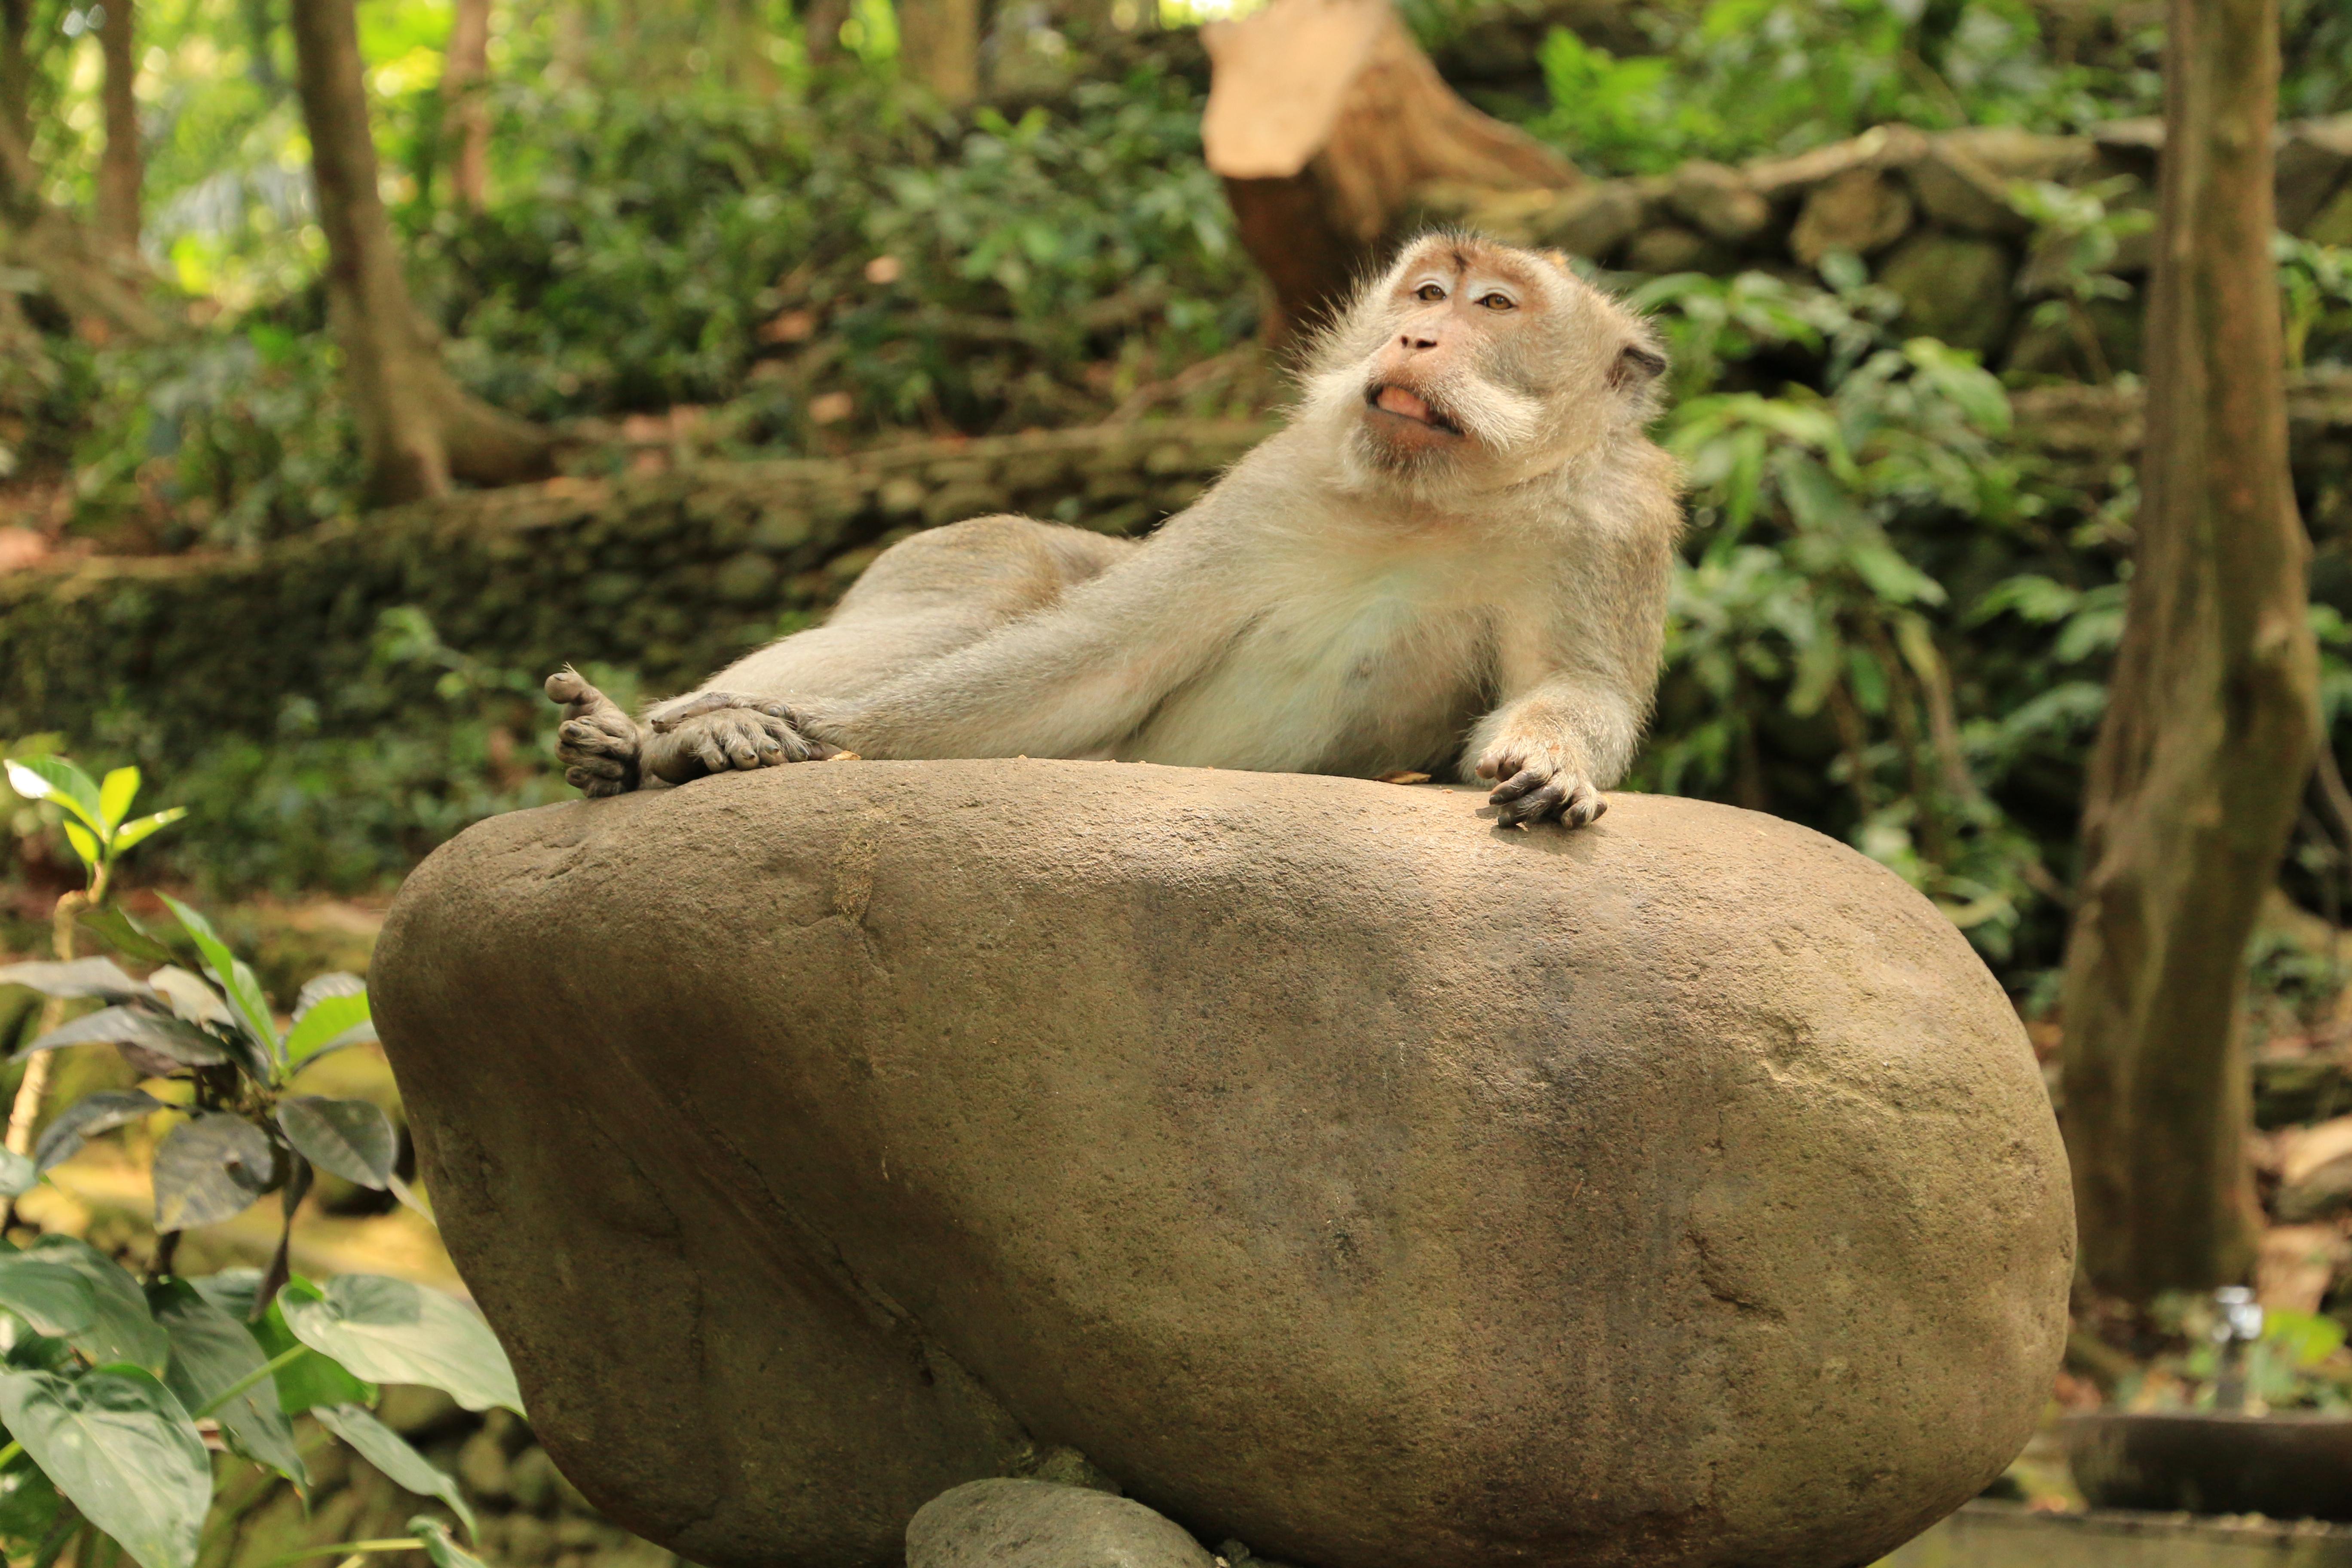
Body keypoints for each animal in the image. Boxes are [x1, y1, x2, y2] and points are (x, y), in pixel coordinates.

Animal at [548, 233, 1682, 829]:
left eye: (1493, 307)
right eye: (1428, 292)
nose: (1414, 338)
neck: (1435, 501)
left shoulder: (1610, 535)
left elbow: (1574, 688)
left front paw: (1552, 764)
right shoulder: (1267, 488)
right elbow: (1097, 654)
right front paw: (762, 731)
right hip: (937, 554)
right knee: (1000, 586)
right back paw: (655, 741)